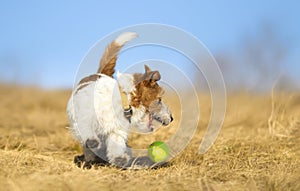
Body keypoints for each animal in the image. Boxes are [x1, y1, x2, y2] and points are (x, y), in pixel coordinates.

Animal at [66, 32, 172, 169]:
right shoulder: (83, 116)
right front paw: (92, 141)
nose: (172, 117)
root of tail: (100, 73)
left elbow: (116, 142)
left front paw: (119, 159)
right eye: (159, 99)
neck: (124, 100)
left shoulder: (117, 129)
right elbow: (87, 129)